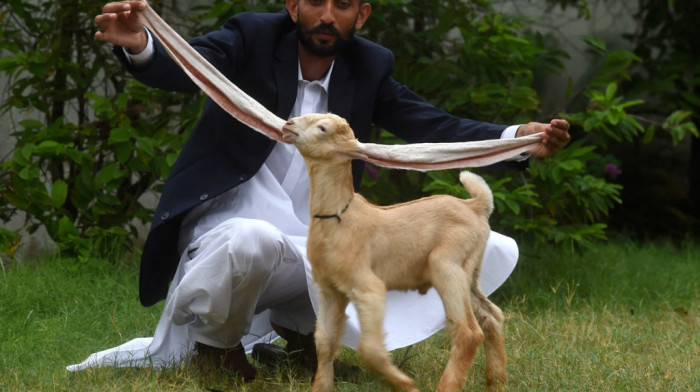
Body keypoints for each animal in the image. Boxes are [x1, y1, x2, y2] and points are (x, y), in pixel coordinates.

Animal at [282, 113, 506, 392]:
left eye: (323, 128)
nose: (288, 125)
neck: (339, 216)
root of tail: (475, 206)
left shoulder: (368, 288)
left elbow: (370, 349)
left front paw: (405, 384)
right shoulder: (331, 290)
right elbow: (325, 342)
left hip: (447, 265)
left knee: (468, 331)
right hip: (470, 271)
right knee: (491, 316)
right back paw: (497, 382)